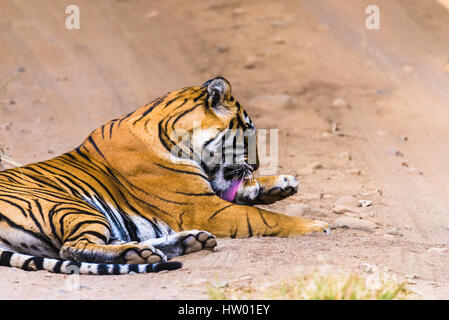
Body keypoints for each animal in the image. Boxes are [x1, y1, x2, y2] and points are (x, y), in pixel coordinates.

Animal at [0, 77, 328, 276]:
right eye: (247, 132)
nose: (258, 164)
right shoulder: (206, 209)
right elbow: (268, 219)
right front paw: (316, 226)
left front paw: (280, 185)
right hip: (72, 206)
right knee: (73, 248)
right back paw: (139, 254)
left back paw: (187, 242)